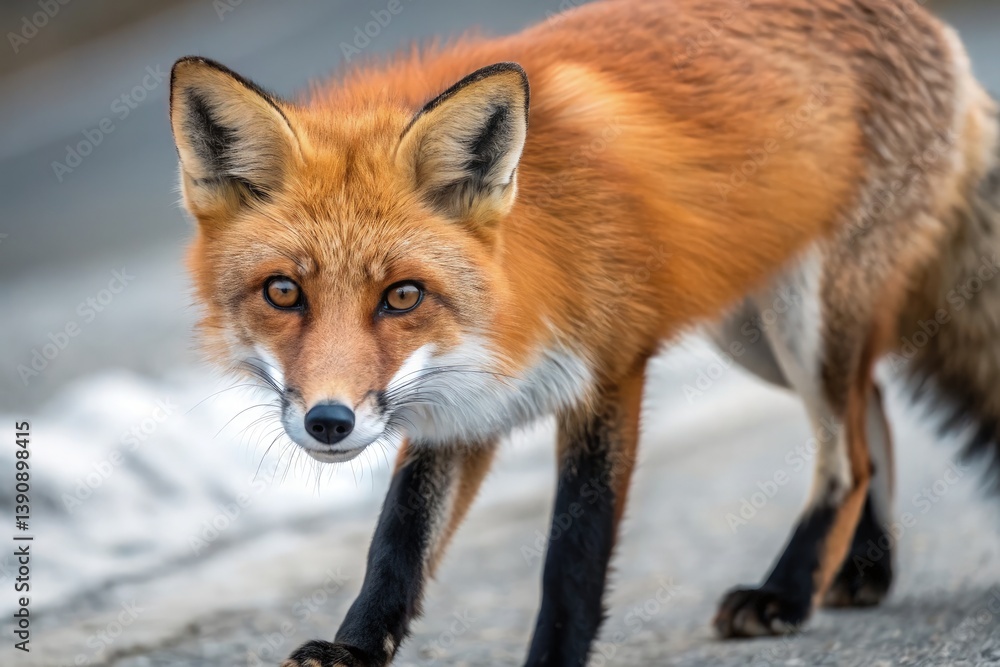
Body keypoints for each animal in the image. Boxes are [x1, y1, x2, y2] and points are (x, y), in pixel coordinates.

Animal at [168, 0, 1000, 664]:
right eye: (283, 292)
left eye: (402, 296)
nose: (329, 422)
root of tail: (925, 22)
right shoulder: (456, 402)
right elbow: (395, 542)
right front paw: (353, 648)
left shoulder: (609, 372)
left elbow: (573, 557)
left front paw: (553, 656)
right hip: (753, 336)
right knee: (871, 415)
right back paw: (861, 569)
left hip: (805, 320)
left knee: (846, 453)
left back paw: (788, 591)